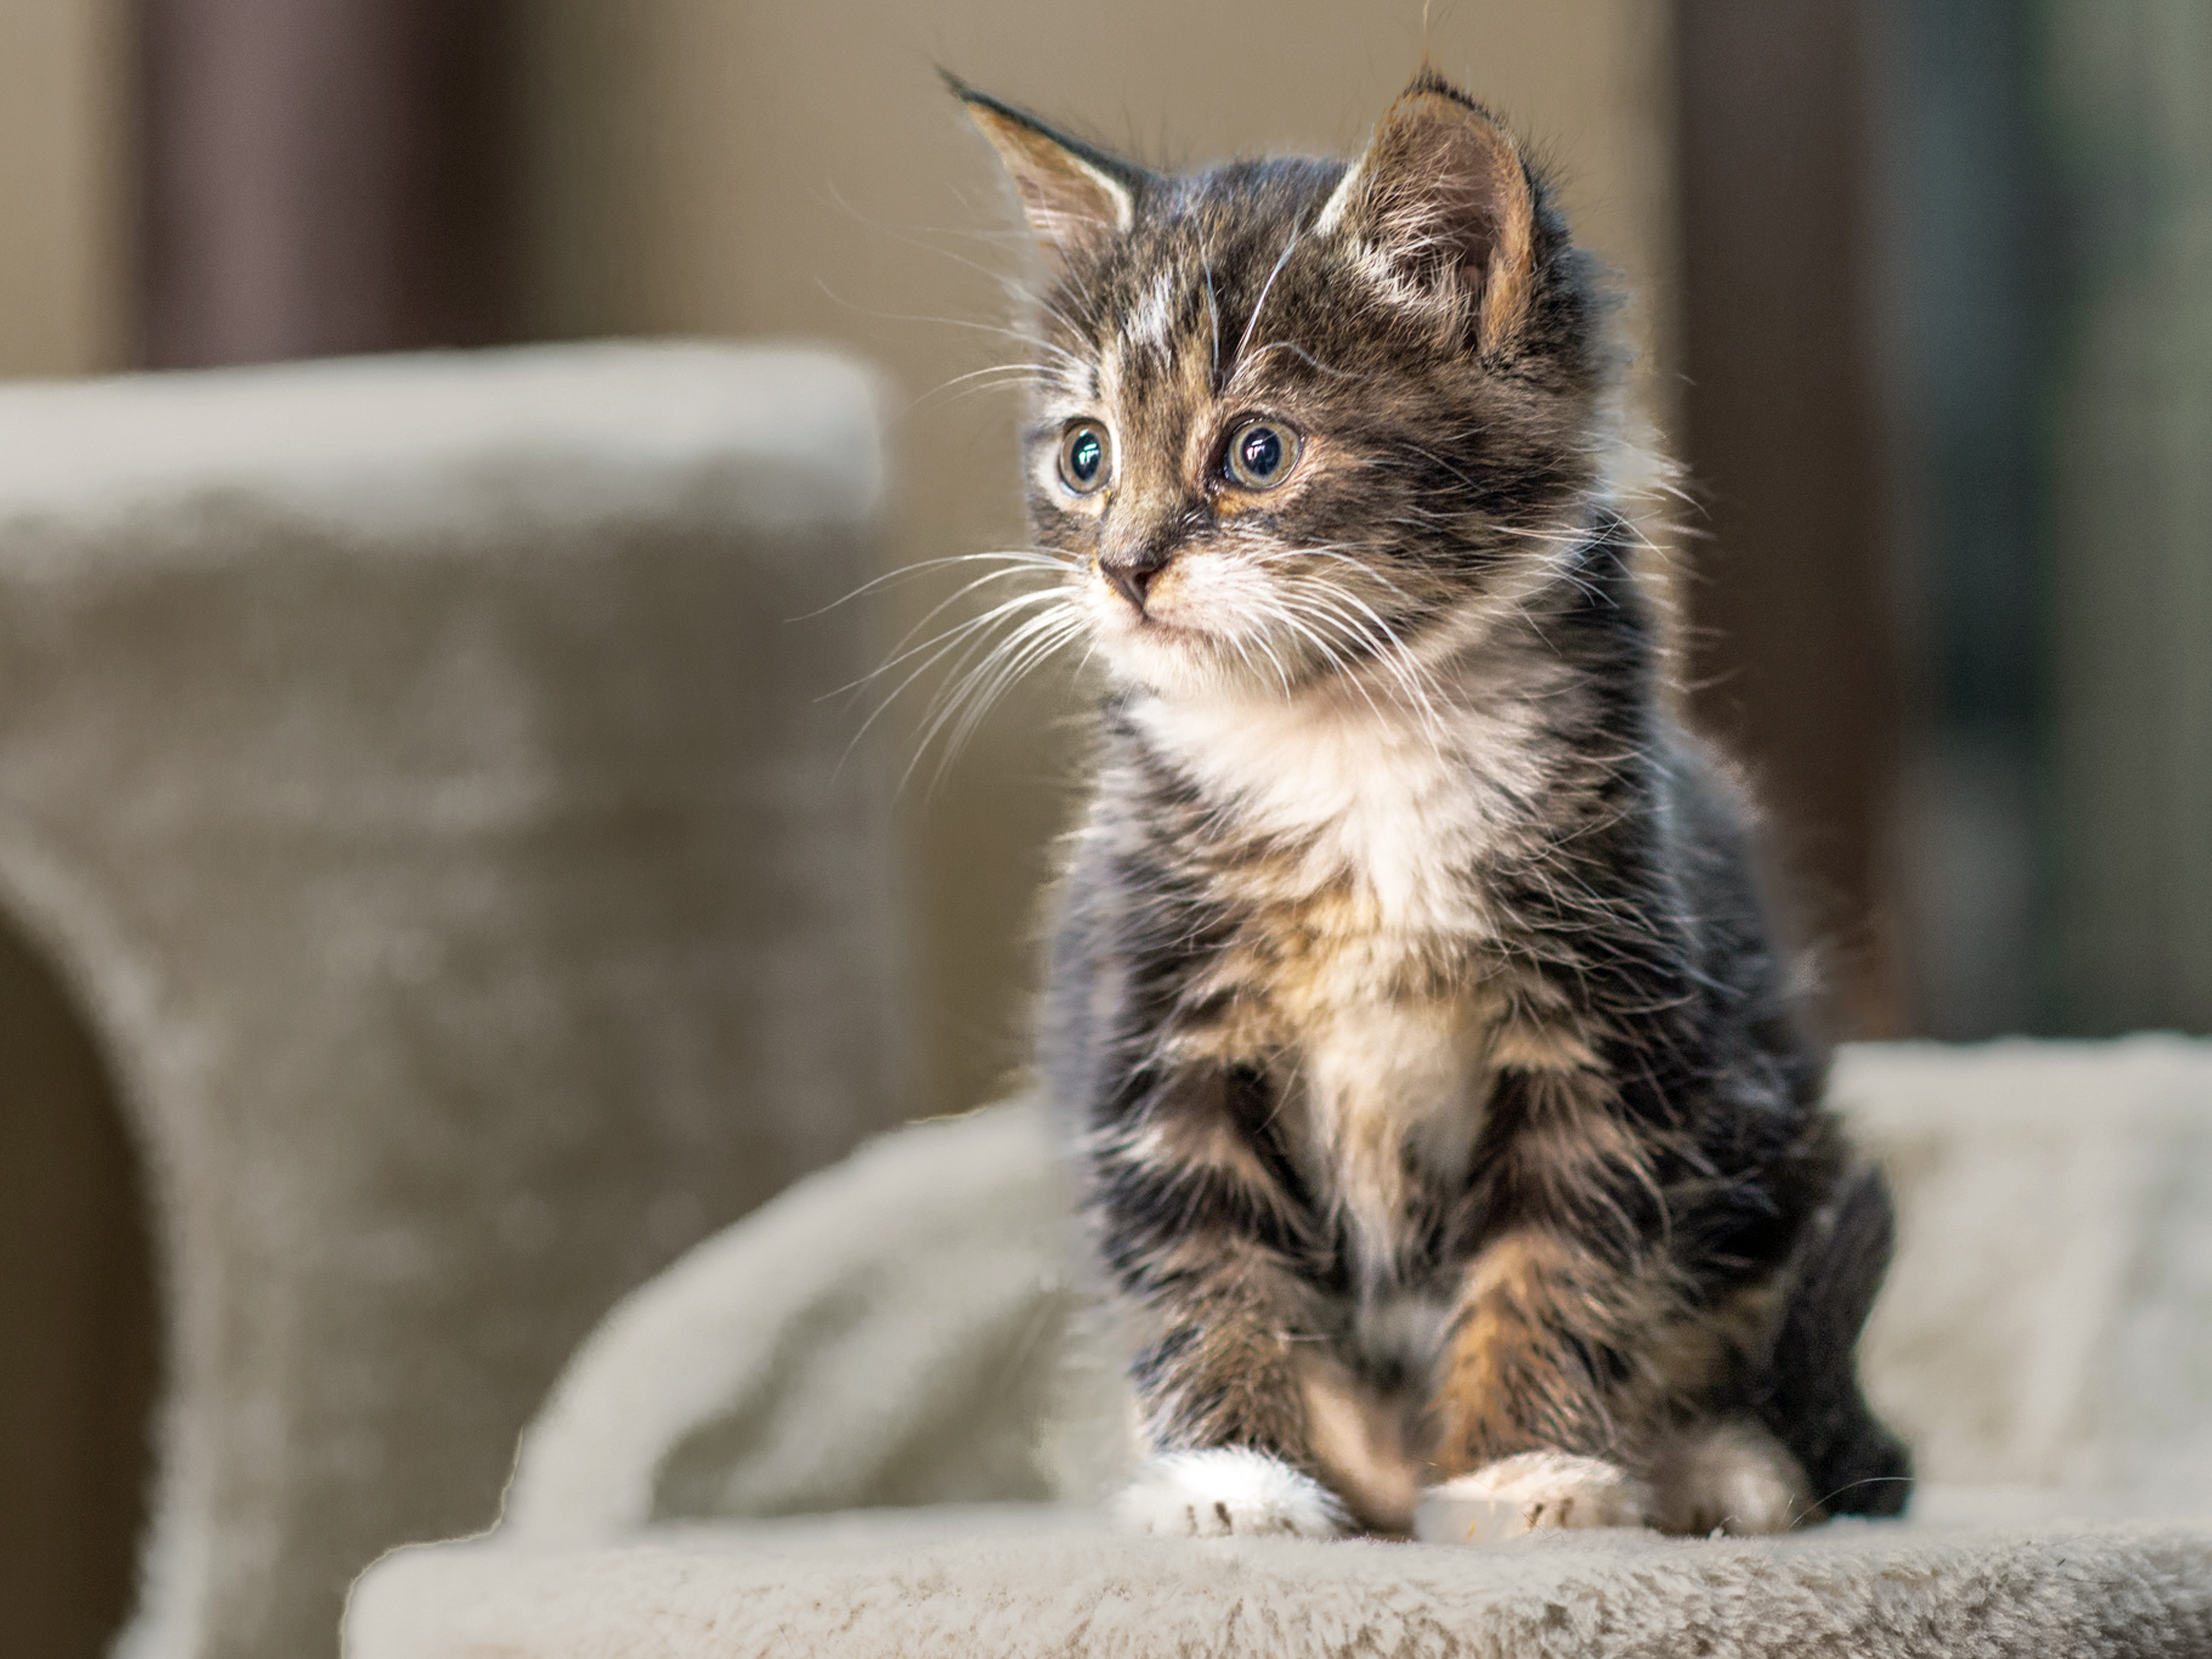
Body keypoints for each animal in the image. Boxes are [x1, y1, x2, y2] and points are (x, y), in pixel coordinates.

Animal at [951, 68, 1902, 1548]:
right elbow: (1204, 1264)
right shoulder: (1152, 1021)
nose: (1124, 568)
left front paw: (1525, 1464)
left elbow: (1558, 1256)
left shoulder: (1609, 1026)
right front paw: (1233, 1471)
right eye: (1086, 458)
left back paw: (1713, 1466)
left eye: (1257, 452)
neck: (1348, 745)